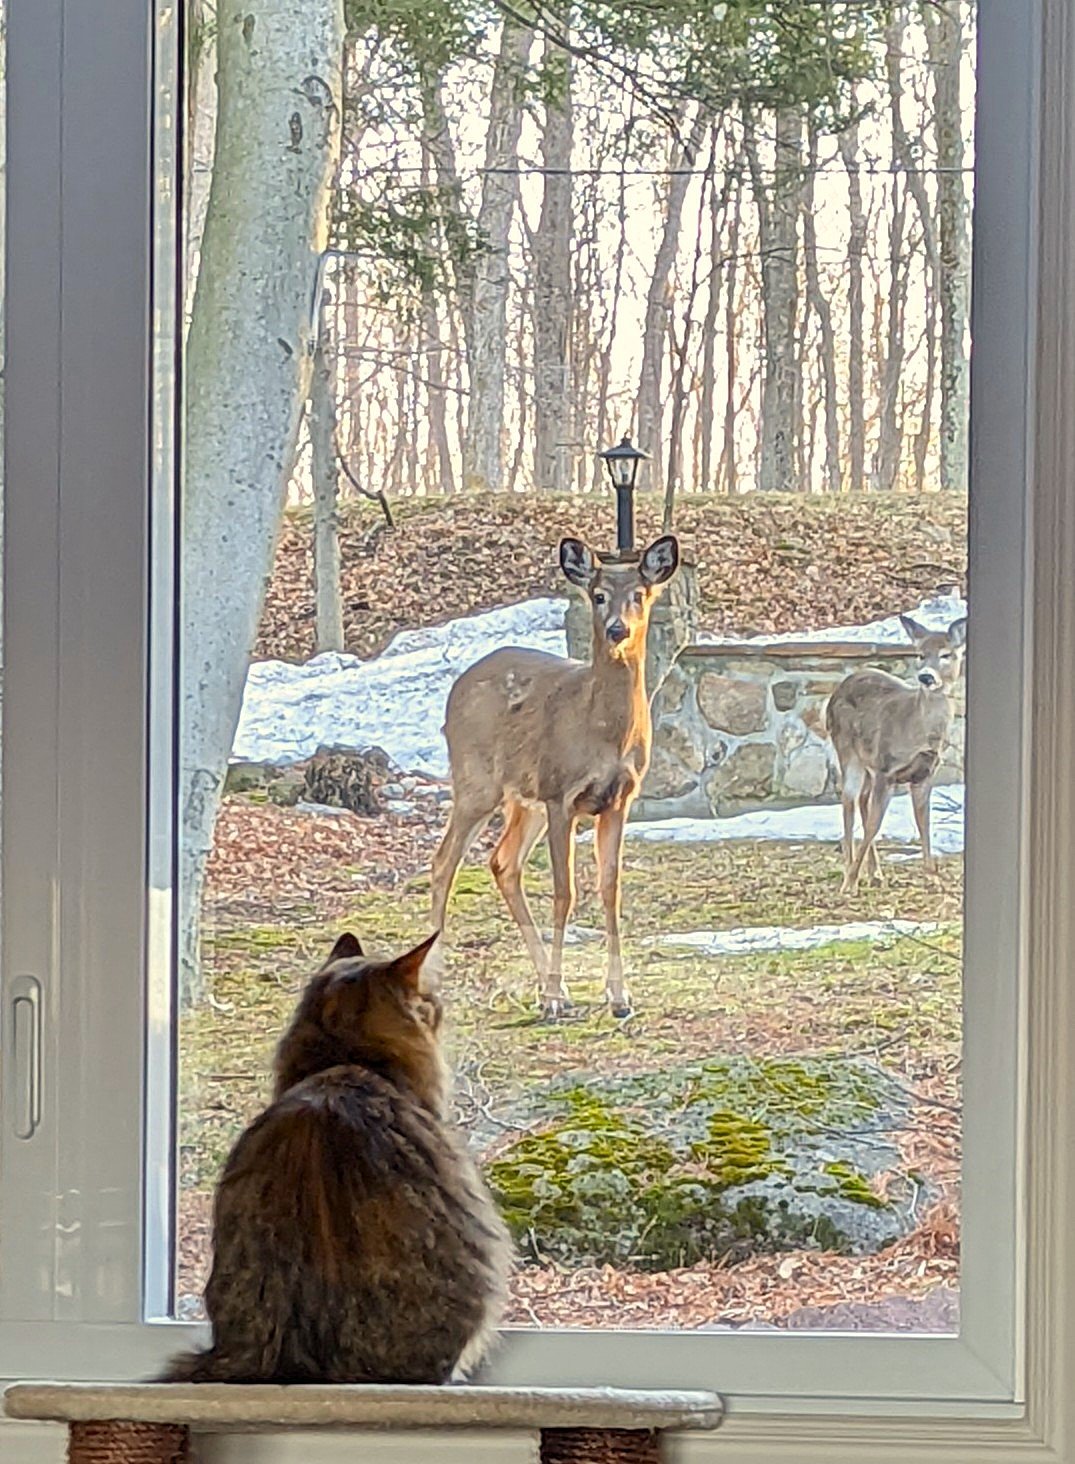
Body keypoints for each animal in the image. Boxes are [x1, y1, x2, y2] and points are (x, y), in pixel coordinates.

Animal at [427, 534, 680, 1020]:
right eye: (598, 595)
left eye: (639, 595)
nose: (617, 629)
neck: (603, 734)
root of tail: (455, 688)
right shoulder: (561, 794)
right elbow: (565, 892)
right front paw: (558, 999)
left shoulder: (619, 799)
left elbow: (609, 888)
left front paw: (618, 997)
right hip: (477, 780)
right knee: (444, 860)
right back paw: (439, 980)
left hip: (524, 799)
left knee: (503, 862)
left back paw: (549, 984)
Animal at [827, 612, 968, 894]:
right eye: (920, 654)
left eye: (946, 654)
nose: (926, 677)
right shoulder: (886, 769)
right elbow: (874, 825)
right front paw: (851, 880)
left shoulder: (924, 774)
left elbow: (924, 822)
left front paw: (932, 877)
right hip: (848, 751)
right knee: (849, 801)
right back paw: (850, 874)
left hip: (868, 762)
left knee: (861, 800)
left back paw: (876, 873)